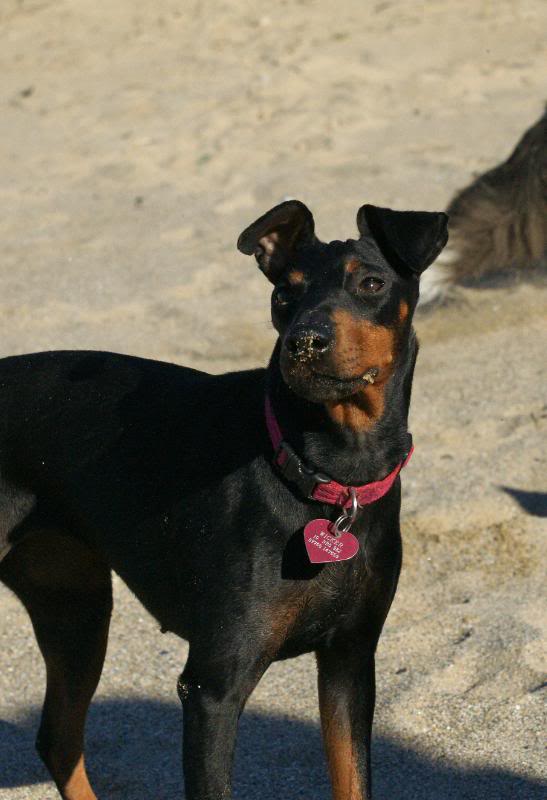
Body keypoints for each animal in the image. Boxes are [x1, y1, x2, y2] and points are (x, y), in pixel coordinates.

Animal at [0, 200, 448, 800]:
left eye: (372, 283)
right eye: (284, 294)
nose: (305, 341)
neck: (330, 474)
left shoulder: (349, 662)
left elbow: (352, 779)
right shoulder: (214, 687)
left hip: (75, 608)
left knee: (58, 739)